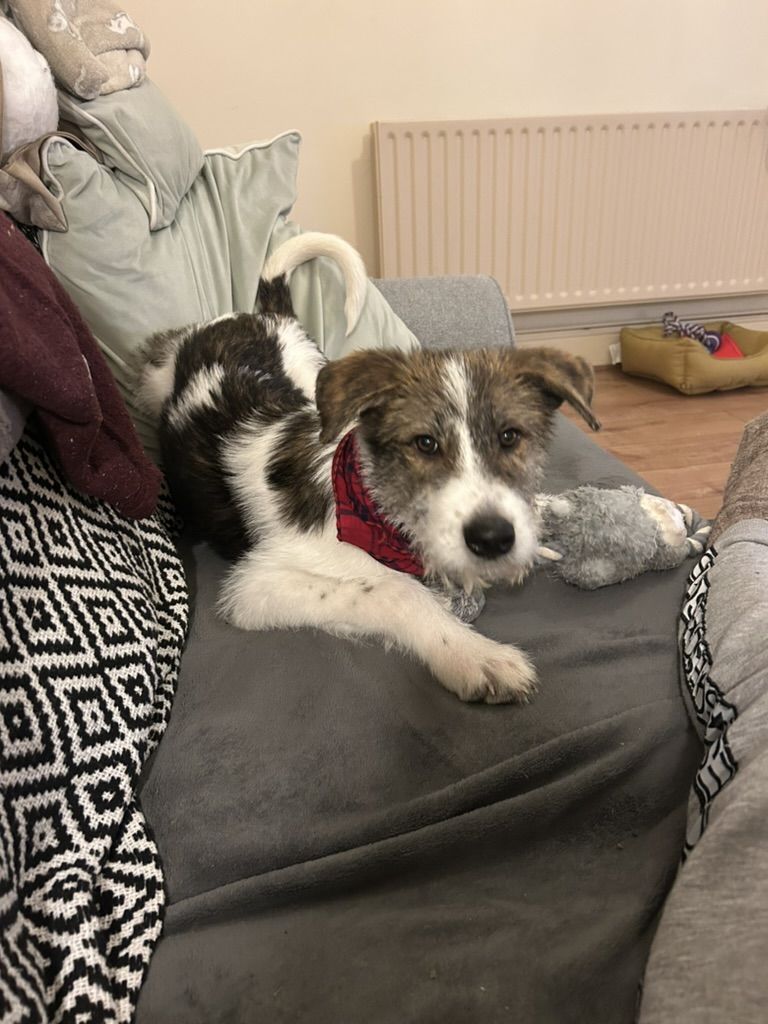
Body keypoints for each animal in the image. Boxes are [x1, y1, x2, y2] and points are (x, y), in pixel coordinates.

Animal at [138, 234, 602, 704]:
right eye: (424, 444)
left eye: (510, 437)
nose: (494, 539)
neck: (373, 508)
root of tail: (259, 314)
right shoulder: (255, 587)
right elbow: (393, 591)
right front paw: (473, 655)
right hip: (155, 377)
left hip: (315, 374)